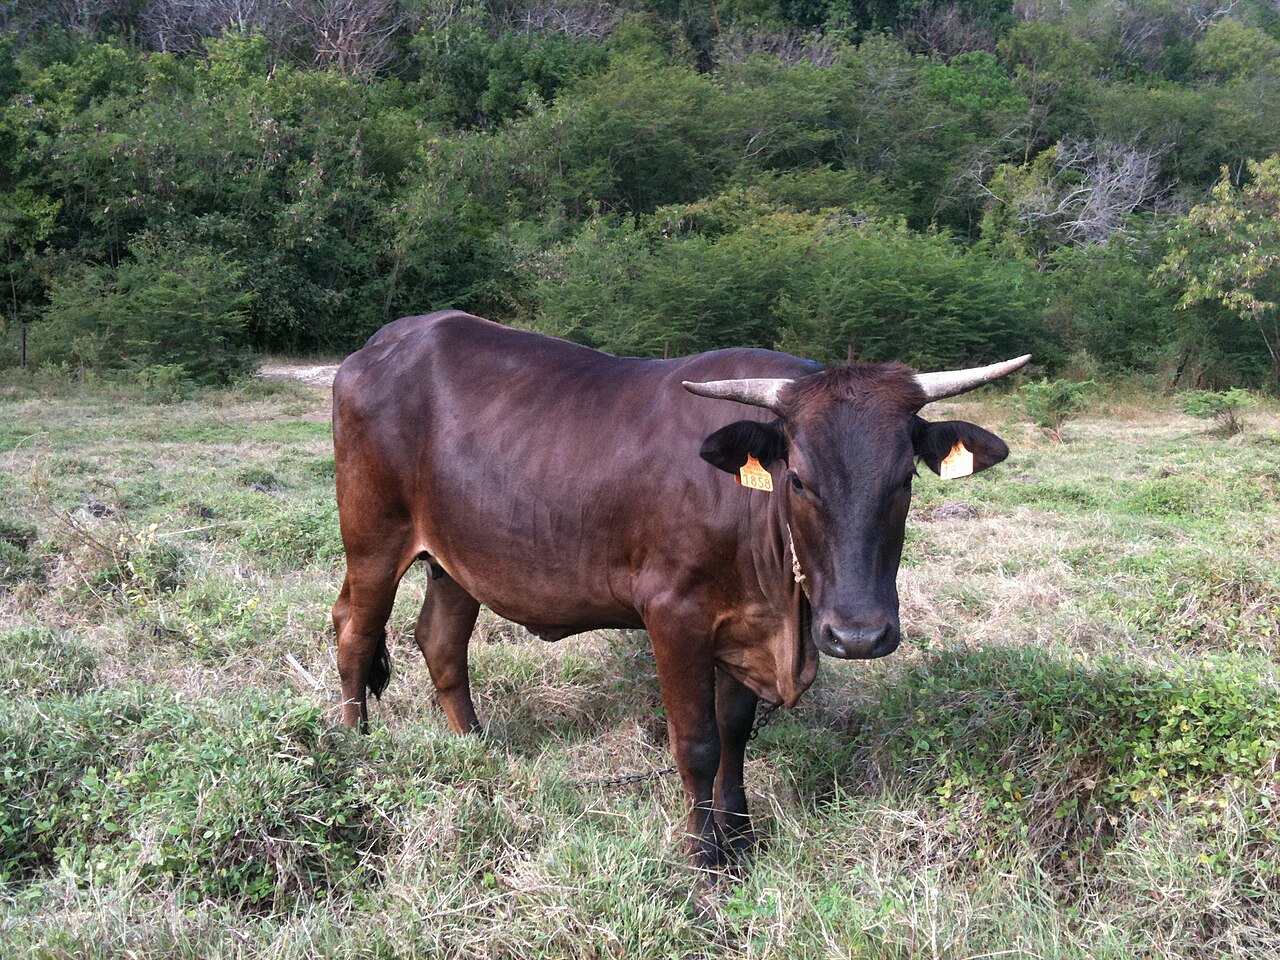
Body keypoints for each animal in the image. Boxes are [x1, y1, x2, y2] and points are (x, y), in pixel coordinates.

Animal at [332, 310, 1028, 867]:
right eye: (798, 480)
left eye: (904, 478)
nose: (858, 634)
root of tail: (389, 340)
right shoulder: (674, 617)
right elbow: (696, 743)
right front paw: (704, 858)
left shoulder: (743, 626)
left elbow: (735, 734)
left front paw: (742, 838)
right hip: (373, 538)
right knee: (355, 631)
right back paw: (356, 748)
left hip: (455, 559)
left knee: (441, 641)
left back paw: (476, 748)